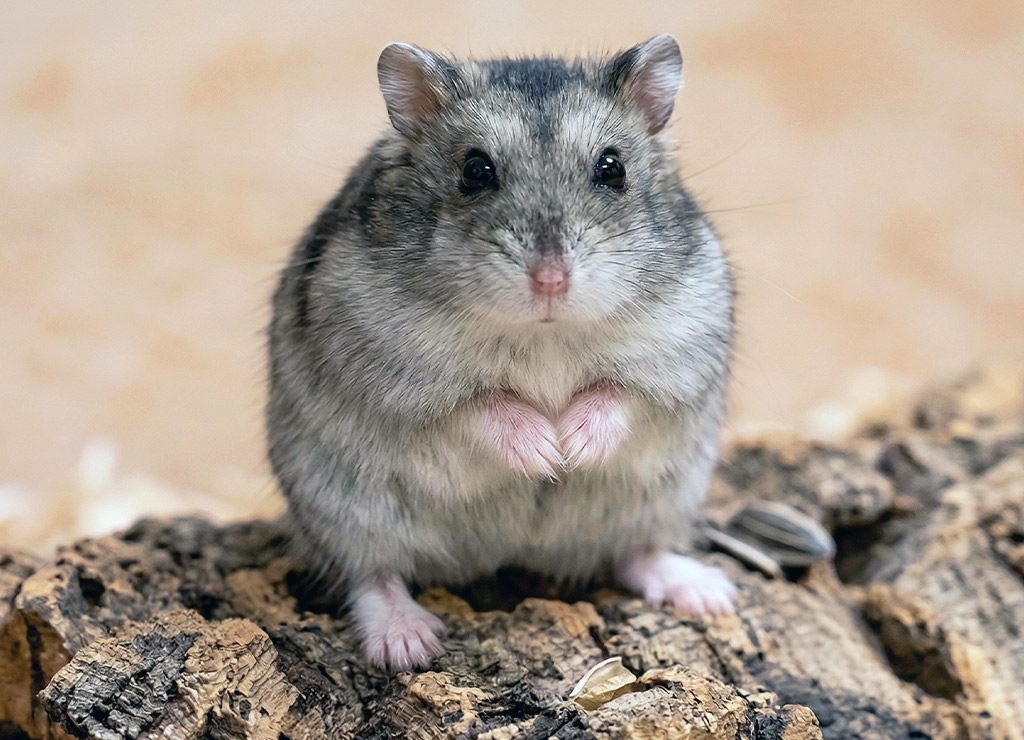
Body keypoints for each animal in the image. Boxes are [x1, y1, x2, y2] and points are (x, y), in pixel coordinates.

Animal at [266, 34, 736, 671]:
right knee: (371, 574)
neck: (545, 331)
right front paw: (547, 454)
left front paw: (573, 451)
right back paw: (406, 643)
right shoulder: (396, 372)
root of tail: (511, 553)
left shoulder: (680, 349)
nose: (550, 280)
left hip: (664, 496)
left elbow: (620, 393)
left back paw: (709, 593)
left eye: (611, 168)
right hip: (342, 506)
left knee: (636, 554)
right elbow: (480, 406)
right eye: (475, 170)